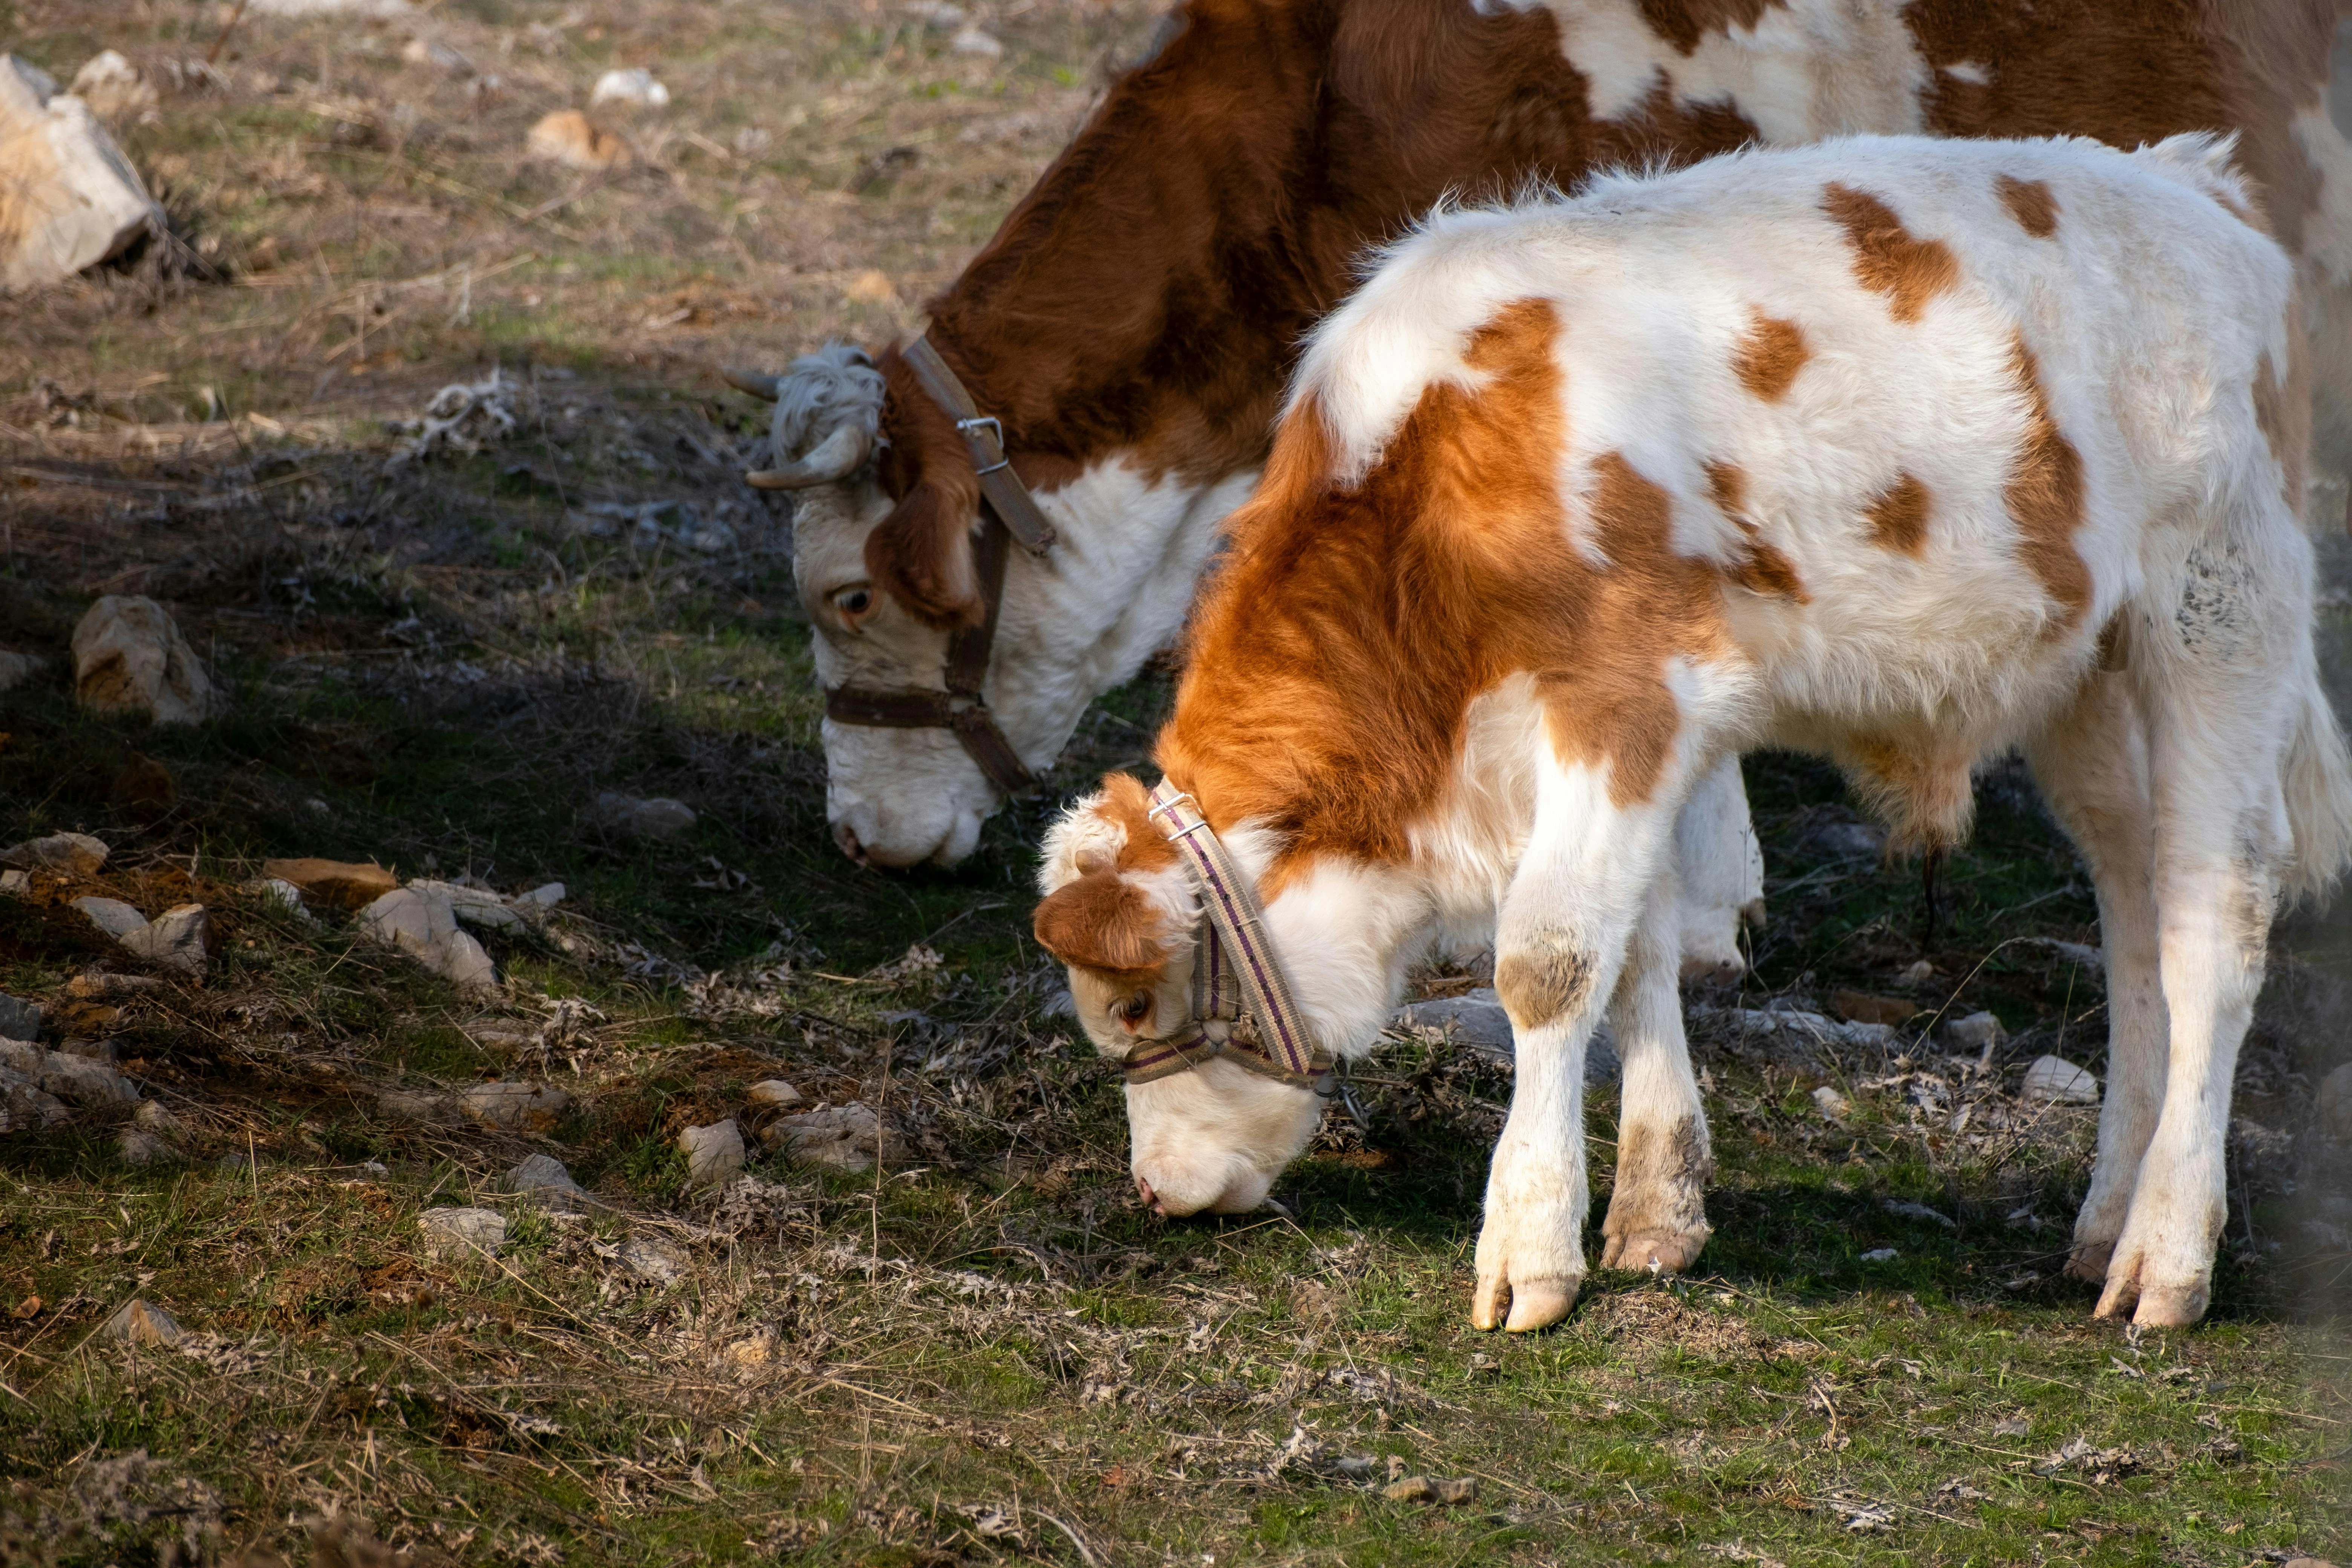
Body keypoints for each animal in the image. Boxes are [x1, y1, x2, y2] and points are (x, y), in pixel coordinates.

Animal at [1028, 131, 2352, 1332]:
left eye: (1137, 1007)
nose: (1156, 1191)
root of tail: (2189, 180)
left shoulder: (1622, 697)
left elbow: (1551, 958)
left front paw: (1528, 1246)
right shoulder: (1643, 738)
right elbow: (1636, 948)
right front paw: (1656, 1211)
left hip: (2218, 617)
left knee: (2217, 915)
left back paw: (2166, 1259)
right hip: (2089, 684)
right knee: (2137, 911)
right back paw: (2104, 1219)